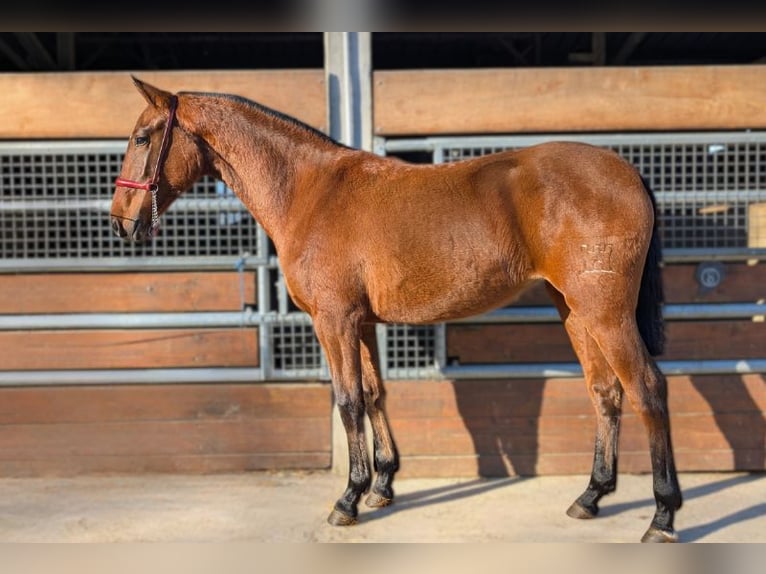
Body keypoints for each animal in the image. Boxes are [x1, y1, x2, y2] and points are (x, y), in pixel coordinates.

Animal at [110, 76, 682, 542]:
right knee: (606, 392)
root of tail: (627, 171)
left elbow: (347, 401)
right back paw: (591, 496)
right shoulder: (360, 323)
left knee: (648, 389)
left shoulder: (334, 320)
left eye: (141, 138)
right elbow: (373, 393)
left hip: (605, 313)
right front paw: (382, 486)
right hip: (575, 310)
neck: (310, 191)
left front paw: (348, 499)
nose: (119, 220)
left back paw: (662, 515)